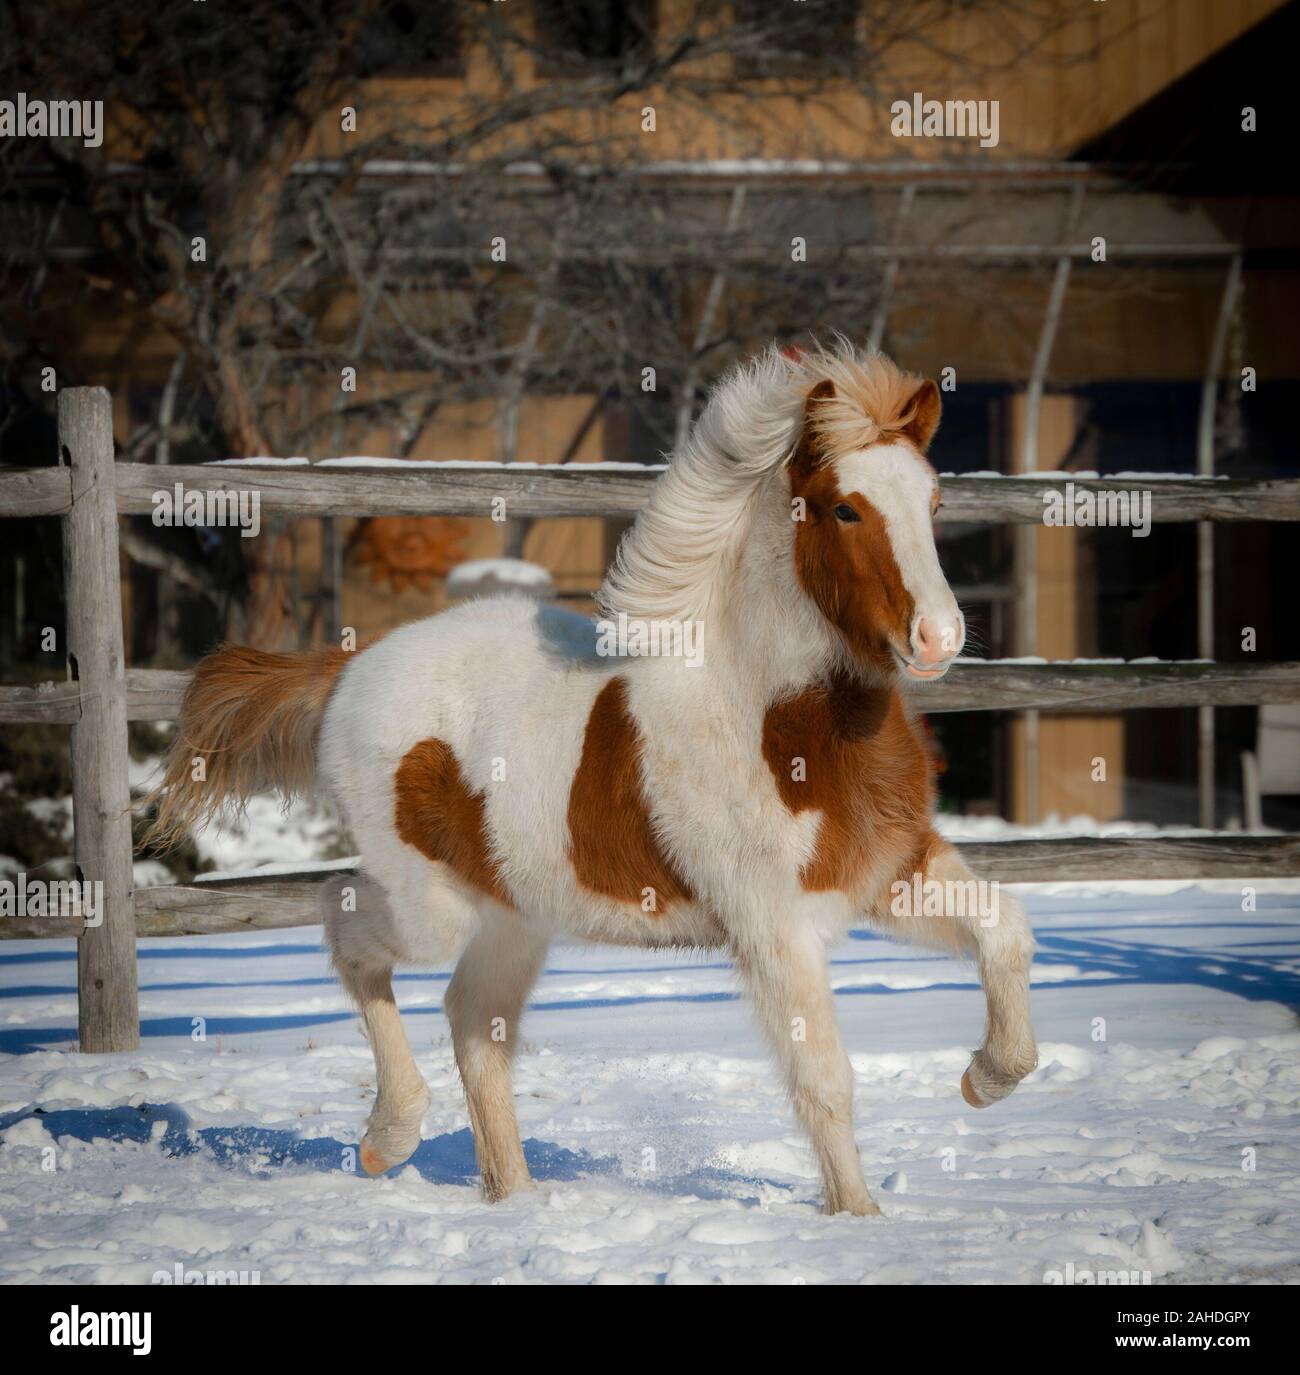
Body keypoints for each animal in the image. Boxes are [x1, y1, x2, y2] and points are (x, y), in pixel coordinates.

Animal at [145, 340, 1039, 1217]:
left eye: (933, 503)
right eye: (846, 509)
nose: (937, 637)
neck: (775, 722)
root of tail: (349, 670)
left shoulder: (891, 872)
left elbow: (1007, 929)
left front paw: (985, 1078)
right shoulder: (770, 925)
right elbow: (824, 1081)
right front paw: (859, 1220)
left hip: (515, 915)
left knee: (473, 1020)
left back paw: (512, 1196)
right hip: (430, 904)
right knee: (346, 922)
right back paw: (388, 1137)